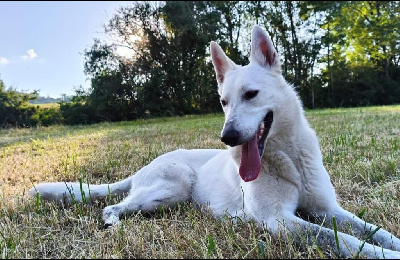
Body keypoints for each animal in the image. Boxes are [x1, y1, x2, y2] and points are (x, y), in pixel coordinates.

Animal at [30, 25, 400, 258]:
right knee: (113, 205)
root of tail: (142, 169)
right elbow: (347, 242)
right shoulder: (280, 220)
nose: (228, 137)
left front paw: (391, 242)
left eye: (251, 95)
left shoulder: (328, 209)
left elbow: (372, 230)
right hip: (172, 188)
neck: (288, 159)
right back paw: (112, 220)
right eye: (223, 102)